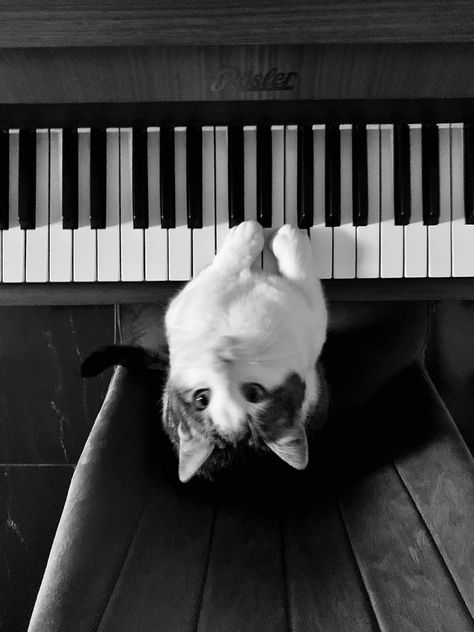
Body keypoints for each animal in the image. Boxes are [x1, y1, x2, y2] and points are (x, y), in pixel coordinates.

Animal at [81, 220, 328, 482]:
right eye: (202, 399)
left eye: (253, 392)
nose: (221, 362)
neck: (237, 333)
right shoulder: (182, 306)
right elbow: (227, 267)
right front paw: (251, 234)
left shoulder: (311, 318)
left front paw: (276, 236)